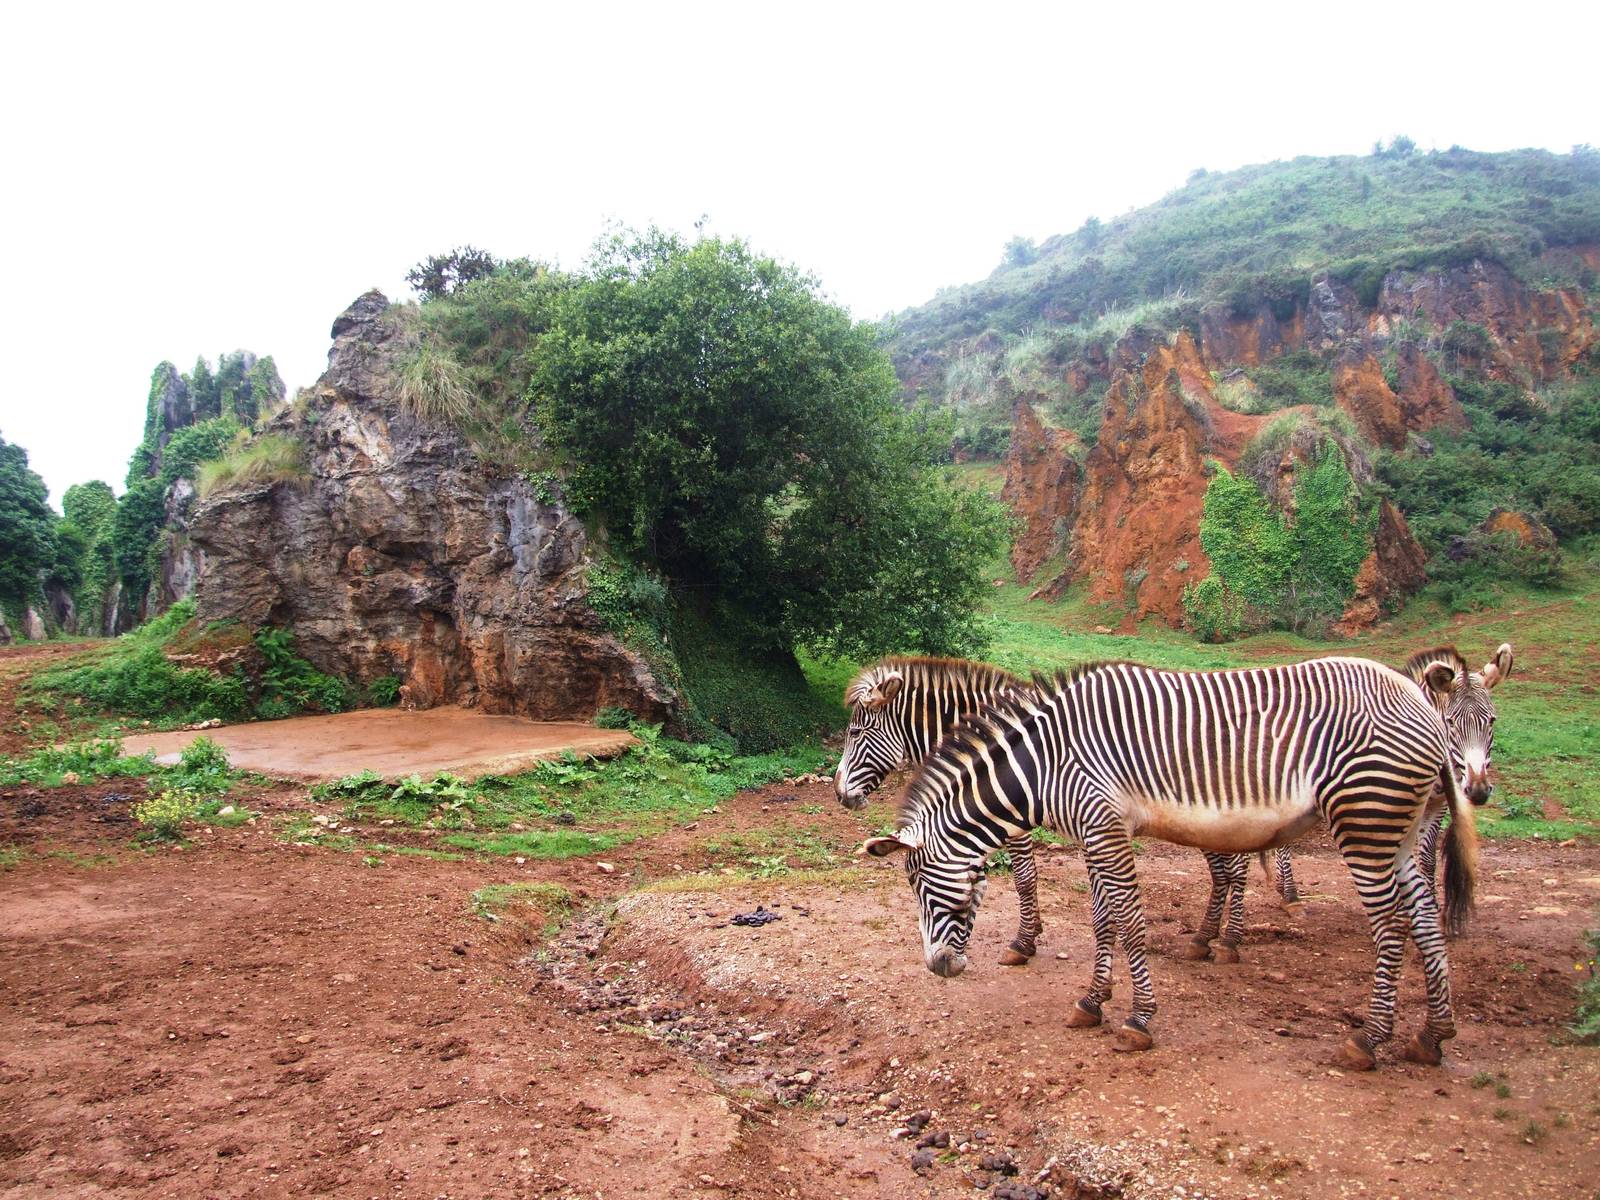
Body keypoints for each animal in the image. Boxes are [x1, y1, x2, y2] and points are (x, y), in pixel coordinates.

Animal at [864, 657, 1478, 1070]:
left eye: (919, 886)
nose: (937, 968)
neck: (1044, 762)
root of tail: (1424, 703)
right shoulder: (1097, 832)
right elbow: (1103, 921)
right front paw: (1092, 1002)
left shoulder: (1104, 827)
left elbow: (1130, 925)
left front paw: (1138, 1020)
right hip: (1404, 827)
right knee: (1425, 914)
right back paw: (1433, 1034)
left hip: (1367, 819)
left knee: (1390, 925)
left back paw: (1369, 1038)